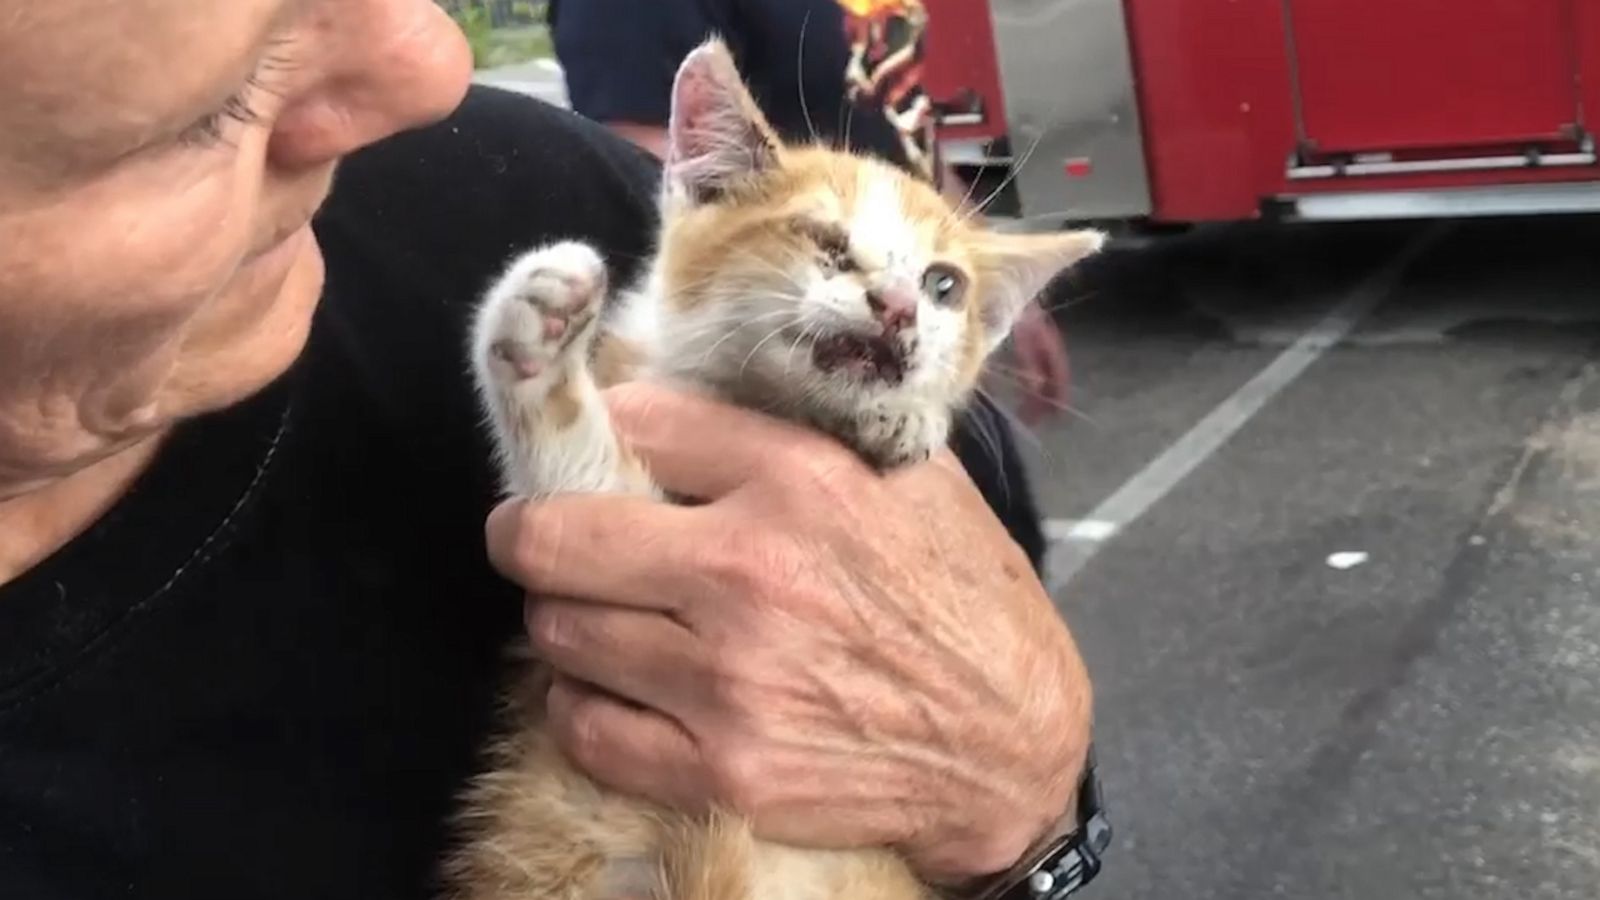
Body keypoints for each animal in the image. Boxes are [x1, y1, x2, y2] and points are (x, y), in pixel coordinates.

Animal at [451, 38, 1100, 896]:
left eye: (944, 284)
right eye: (825, 241)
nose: (897, 306)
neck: (758, 404)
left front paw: (901, 417)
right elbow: (578, 458)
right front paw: (536, 331)